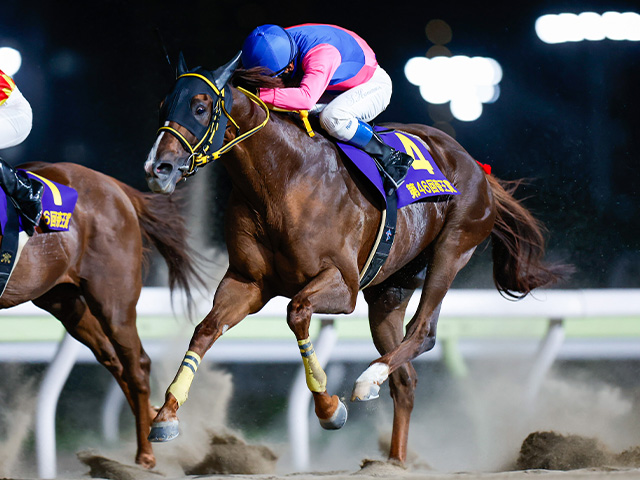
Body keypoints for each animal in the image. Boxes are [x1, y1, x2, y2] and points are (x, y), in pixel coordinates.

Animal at [0, 161, 204, 468]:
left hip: (113, 302)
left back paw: (146, 453)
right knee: (112, 358)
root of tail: (114, 186)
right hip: (63, 301)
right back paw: (153, 418)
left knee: (137, 365)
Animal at [144, 55, 564, 464]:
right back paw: (394, 460)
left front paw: (330, 409)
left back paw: (369, 379)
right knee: (406, 379)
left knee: (423, 332)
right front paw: (165, 415)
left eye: (199, 107)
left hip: (453, 248)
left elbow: (297, 311)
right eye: (163, 105)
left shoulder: (342, 285)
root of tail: (478, 167)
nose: (158, 168)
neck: (281, 178)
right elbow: (205, 329)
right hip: (390, 290)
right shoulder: (247, 283)